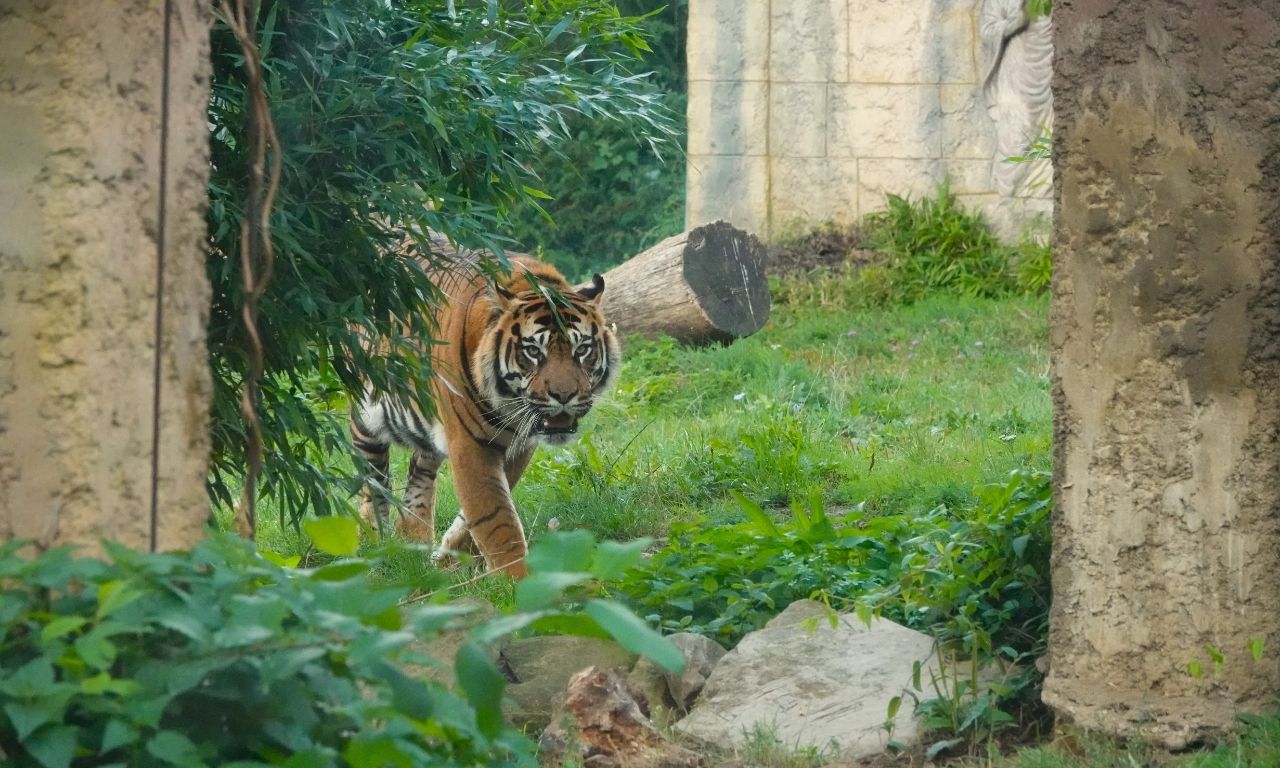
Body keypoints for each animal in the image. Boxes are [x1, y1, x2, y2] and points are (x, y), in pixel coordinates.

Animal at [349, 254, 621, 578]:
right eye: (532, 351)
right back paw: (375, 542)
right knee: (373, 479)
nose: (564, 396)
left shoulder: (519, 445)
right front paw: (517, 579)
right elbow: (495, 516)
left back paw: (412, 538)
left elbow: (478, 514)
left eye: (582, 349)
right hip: (366, 415)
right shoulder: (470, 445)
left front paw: (450, 558)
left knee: (420, 469)